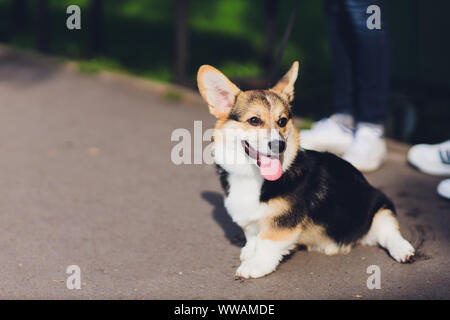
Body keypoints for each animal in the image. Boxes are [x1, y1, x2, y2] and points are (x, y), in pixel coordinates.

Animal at [197, 62, 414, 278]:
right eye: (254, 120)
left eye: (282, 121)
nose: (280, 145)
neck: (253, 176)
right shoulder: (249, 220)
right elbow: (252, 236)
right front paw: (249, 251)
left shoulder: (282, 223)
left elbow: (267, 243)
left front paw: (254, 265)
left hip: (379, 206)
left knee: (389, 233)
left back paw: (403, 250)